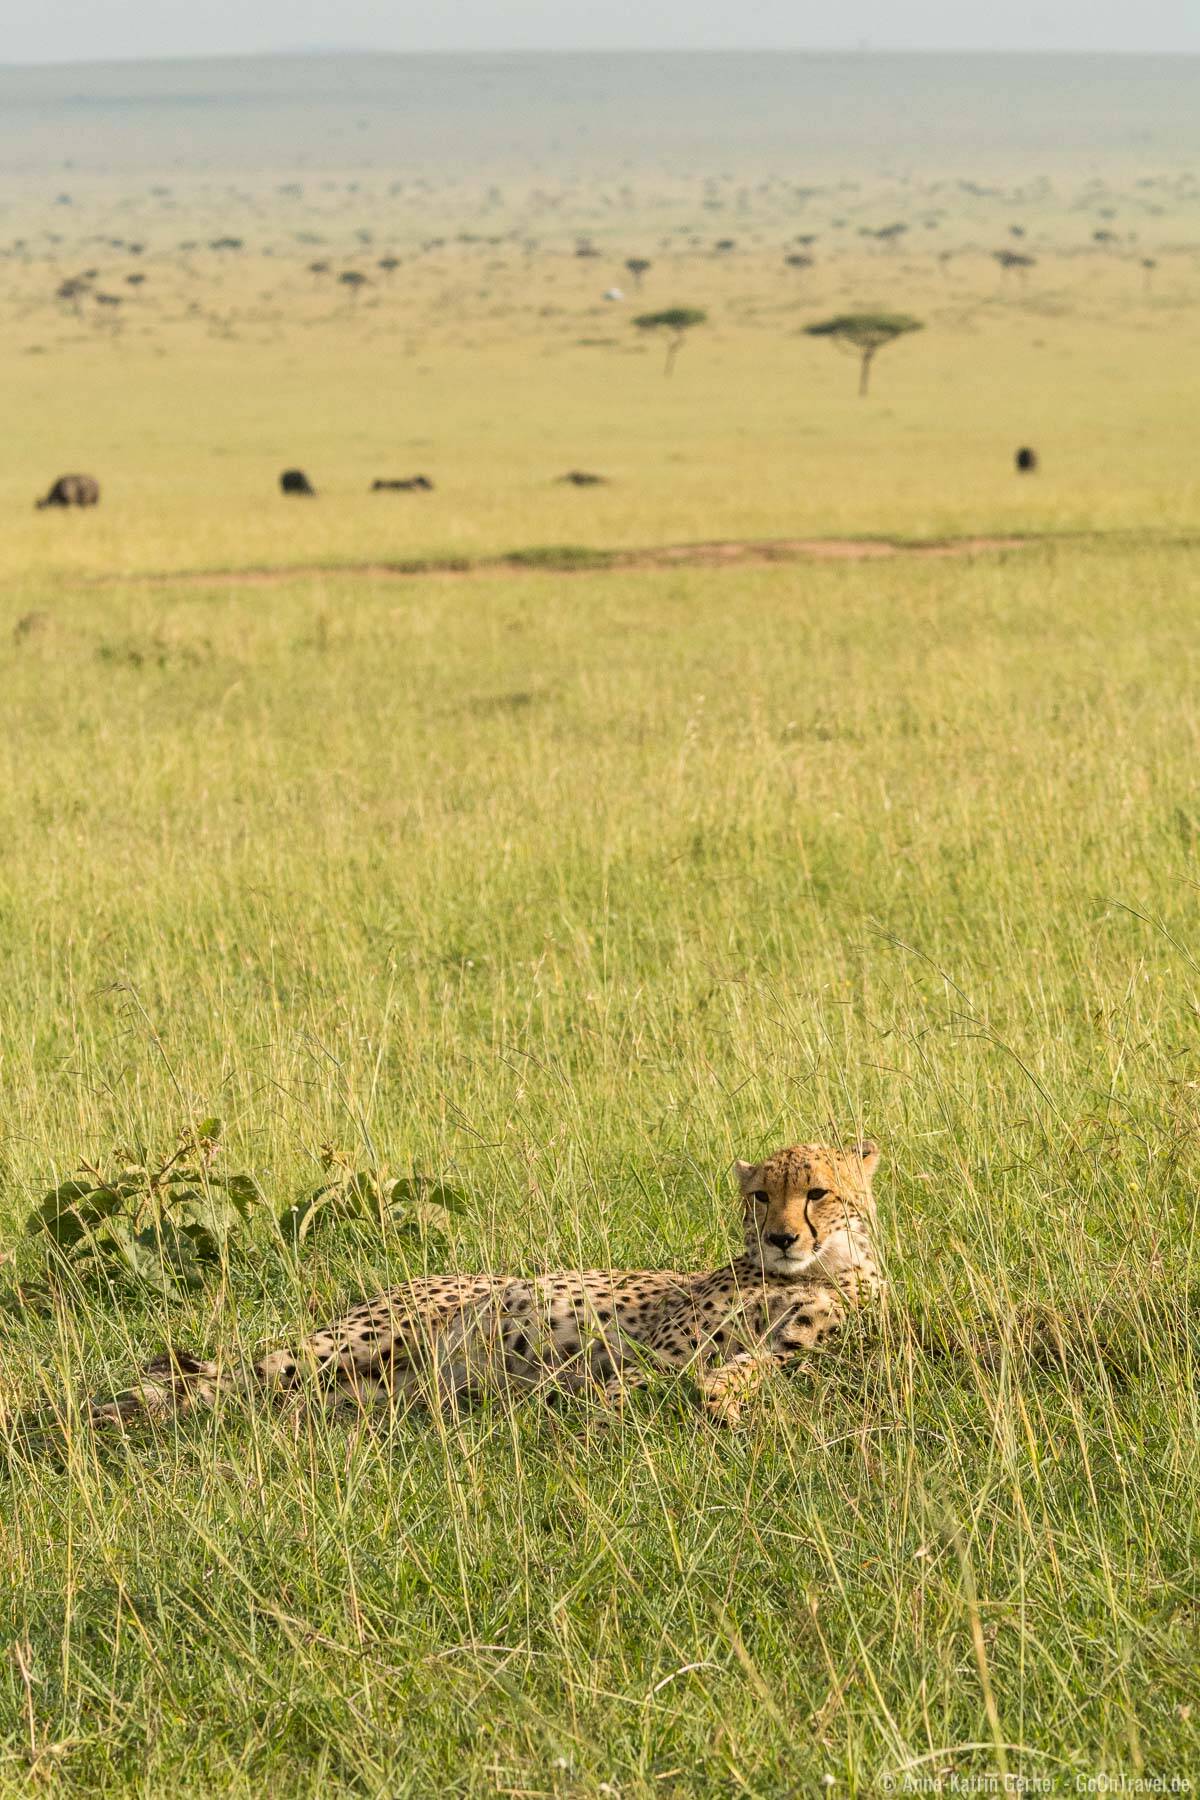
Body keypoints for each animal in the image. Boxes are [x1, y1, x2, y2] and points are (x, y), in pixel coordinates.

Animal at [91, 1144, 881, 1425]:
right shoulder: (658, 1348)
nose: (781, 1238)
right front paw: (610, 1412)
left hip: (367, 1389)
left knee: (235, 1396)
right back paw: (91, 1417)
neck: (824, 1270)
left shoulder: (804, 1342)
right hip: (353, 1345)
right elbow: (637, 1380)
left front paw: (721, 1401)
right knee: (214, 1378)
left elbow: (752, 1366)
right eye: (761, 1197)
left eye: (816, 1192)